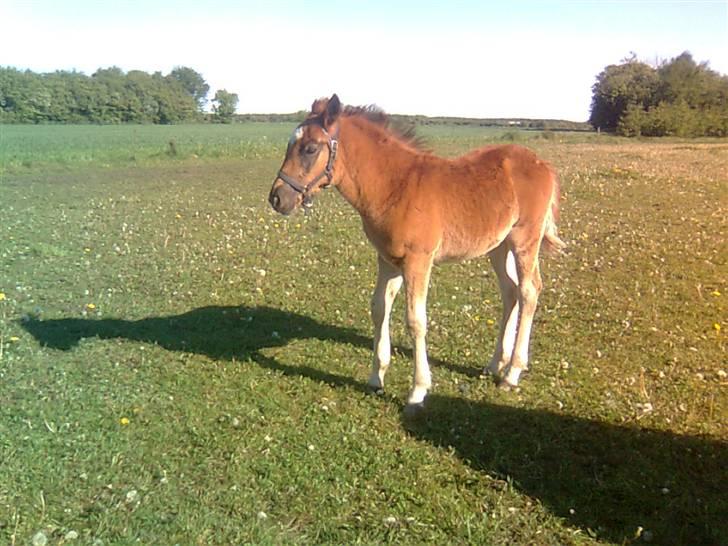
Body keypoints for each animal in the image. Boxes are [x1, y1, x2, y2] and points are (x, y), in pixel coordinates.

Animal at [268, 94, 564, 408]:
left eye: (310, 148)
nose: (277, 198)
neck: (395, 186)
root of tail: (542, 164)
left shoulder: (418, 260)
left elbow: (415, 320)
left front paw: (418, 389)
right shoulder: (387, 260)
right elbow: (379, 308)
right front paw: (376, 377)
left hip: (525, 240)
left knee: (529, 290)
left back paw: (512, 373)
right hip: (498, 245)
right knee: (510, 291)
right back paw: (496, 364)